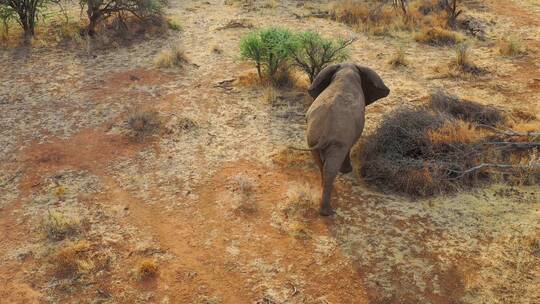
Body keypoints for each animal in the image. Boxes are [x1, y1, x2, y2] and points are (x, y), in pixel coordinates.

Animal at [304, 62, 388, 216]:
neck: (346, 70)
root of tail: (324, 132)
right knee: (331, 167)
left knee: (320, 163)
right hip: (336, 140)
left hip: (312, 137)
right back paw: (327, 212)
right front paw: (347, 171)